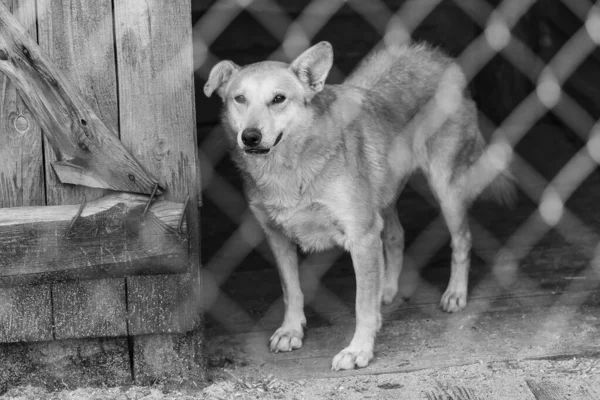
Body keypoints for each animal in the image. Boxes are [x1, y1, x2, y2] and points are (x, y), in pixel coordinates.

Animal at [204, 42, 512, 370]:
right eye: (239, 98)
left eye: (278, 99)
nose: (250, 137)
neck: (288, 169)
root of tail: (435, 56)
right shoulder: (277, 236)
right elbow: (292, 290)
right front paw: (291, 330)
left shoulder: (361, 237)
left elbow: (362, 305)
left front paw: (359, 349)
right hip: (384, 195)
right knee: (396, 235)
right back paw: (387, 289)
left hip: (445, 187)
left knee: (462, 239)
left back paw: (455, 293)